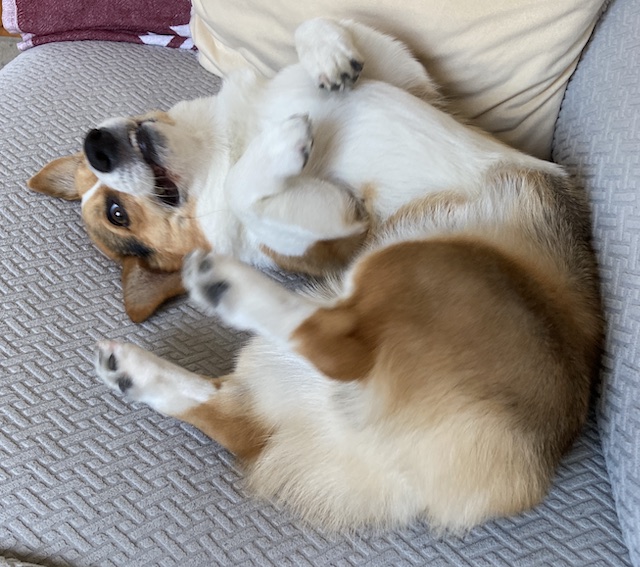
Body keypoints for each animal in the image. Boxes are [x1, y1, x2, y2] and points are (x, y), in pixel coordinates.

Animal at [30, 17, 604, 532]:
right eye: (117, 215)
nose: (94, 144)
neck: (223, 147)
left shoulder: (404, 72)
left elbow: (328, 21)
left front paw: (330, 60)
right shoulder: (345, 229)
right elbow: (245, 191)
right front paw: (281, 148)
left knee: (235, 417)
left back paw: (130, 370)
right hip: (424, 262)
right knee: (335, 340)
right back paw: (224, 287)